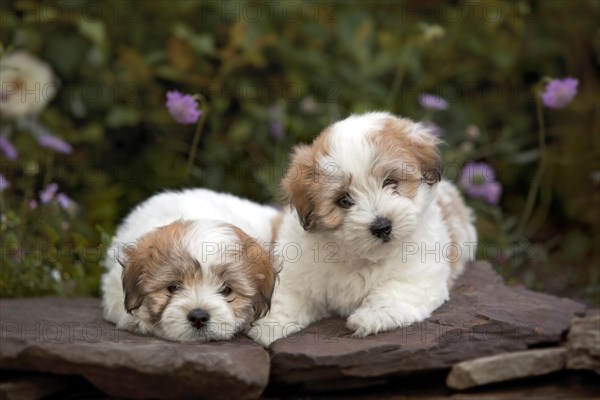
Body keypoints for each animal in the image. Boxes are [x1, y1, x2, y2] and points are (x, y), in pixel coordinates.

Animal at [248, 111, 478, 346]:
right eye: (344, 200)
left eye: (390, 182)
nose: (382, 226)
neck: (361, 257)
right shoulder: (300, 270)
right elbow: (290, 295)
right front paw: (270, 324)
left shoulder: (419, 274)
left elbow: (397, 290)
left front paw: (373, 316)